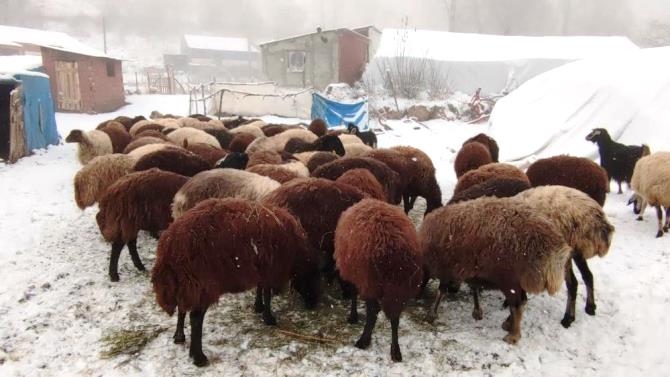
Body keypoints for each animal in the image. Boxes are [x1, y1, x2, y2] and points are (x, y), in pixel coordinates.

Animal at [152, 198, 320, 366]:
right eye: (311, 278)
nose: (313, 305)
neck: (295, 253)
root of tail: (169, 247)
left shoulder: (260, 265)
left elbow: (260, 288)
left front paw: (258, 307)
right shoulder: (270, 267)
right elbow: (267, 294)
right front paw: (269, 318)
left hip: (186, 283)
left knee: (182, 308)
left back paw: (179, 336)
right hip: (203, 284)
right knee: (195, 318)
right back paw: (199, 357)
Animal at [336, 198, 426, 360]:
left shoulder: (356, 276)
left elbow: (354, 294)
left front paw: (353, 317)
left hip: (372, 281)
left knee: (373, 312)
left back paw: (363, 340)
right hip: (399, 287)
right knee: (395, 316)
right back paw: (395, 351)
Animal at [420, 197, 572, 344]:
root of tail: (555, 251)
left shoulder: (445, 267)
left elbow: (441, 290)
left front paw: (432, 313)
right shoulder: (471, 269)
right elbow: (474, 288)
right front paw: (477, 311)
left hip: (509, 280)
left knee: (517, 305)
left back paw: (513, 336)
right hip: (517, 281)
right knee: (522, 301)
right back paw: (509, 324)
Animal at [516, 185, 616, 326]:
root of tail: (596, 221)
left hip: (564, 254)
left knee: (573, 284)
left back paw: (568, 317)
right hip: (578, 252)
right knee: (588, 276)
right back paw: (590, 307)